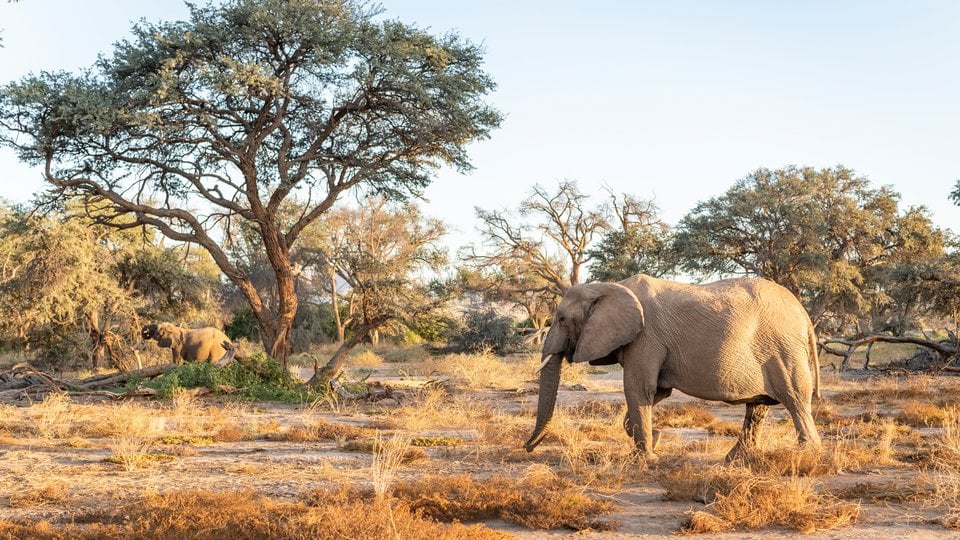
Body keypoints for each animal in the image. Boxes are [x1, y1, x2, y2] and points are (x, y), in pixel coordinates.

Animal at [524, 274, 821, 461]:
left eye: (561, 319)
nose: (527, 447)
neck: (610, 287)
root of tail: (804, 315)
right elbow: (656, 392)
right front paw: (653, 440)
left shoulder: (646, 338)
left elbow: (638, 389)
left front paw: (645, 458)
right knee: (759, 406)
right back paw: (735, 461)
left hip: (783, 350)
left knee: (795, 400)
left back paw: (807, 456)